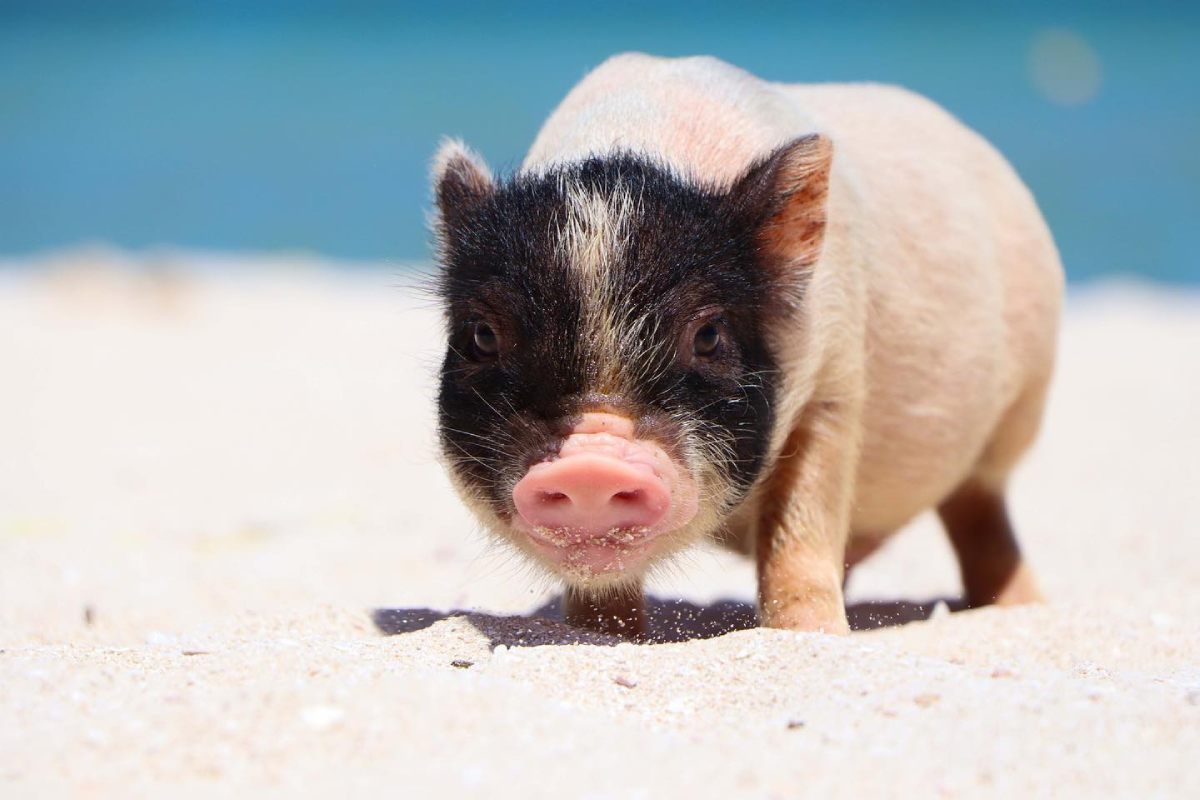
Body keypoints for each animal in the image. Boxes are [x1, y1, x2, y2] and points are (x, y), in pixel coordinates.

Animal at [431, 53, 1062, 638]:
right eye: (483, 336)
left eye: (709, 335)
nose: (590, 465)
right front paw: (600, 635)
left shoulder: (835, 378)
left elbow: (800, 522)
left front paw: (814, 637)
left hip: (1020, 408)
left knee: (980, 509)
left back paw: (1020, 607)